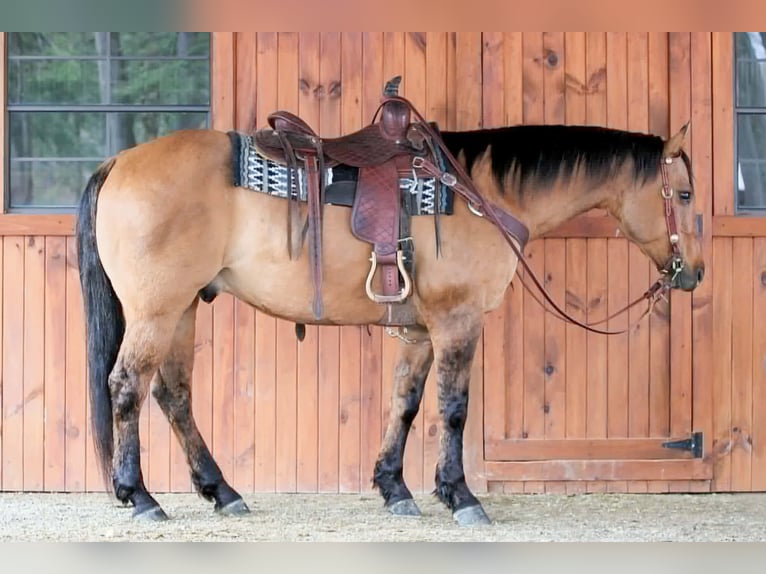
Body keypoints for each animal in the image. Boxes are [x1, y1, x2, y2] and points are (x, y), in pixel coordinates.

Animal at [76, 98, 704, 526]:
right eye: (686, 195)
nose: (693, 273)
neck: (477, 193)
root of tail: (118, 162)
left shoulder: (419, 331)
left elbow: (404, 403)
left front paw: (394, 488)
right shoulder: (457, 320)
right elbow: (453, 409)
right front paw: (460, 495)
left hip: (181, 309)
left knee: (173, 395)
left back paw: (223, 492)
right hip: (156, 310)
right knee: (127, 386)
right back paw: (141, 497)